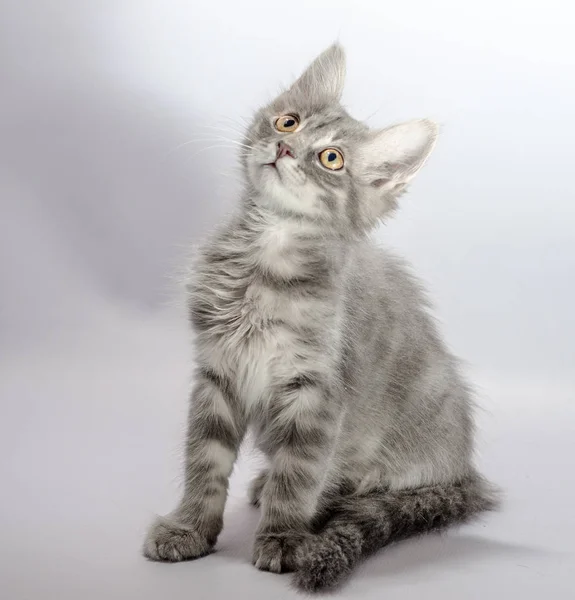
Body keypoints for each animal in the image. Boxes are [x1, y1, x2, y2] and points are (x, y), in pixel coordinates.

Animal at [142, 43, 498, 592]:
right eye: (288, 121)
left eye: (331, 158)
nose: (286, 148)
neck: (265, 260)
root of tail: (462, 469)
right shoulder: (218, 371)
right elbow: (205, 462)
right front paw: (190, 528)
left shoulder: (317, 390)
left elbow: (300, 473)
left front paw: (284, 538)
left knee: (359, 488)